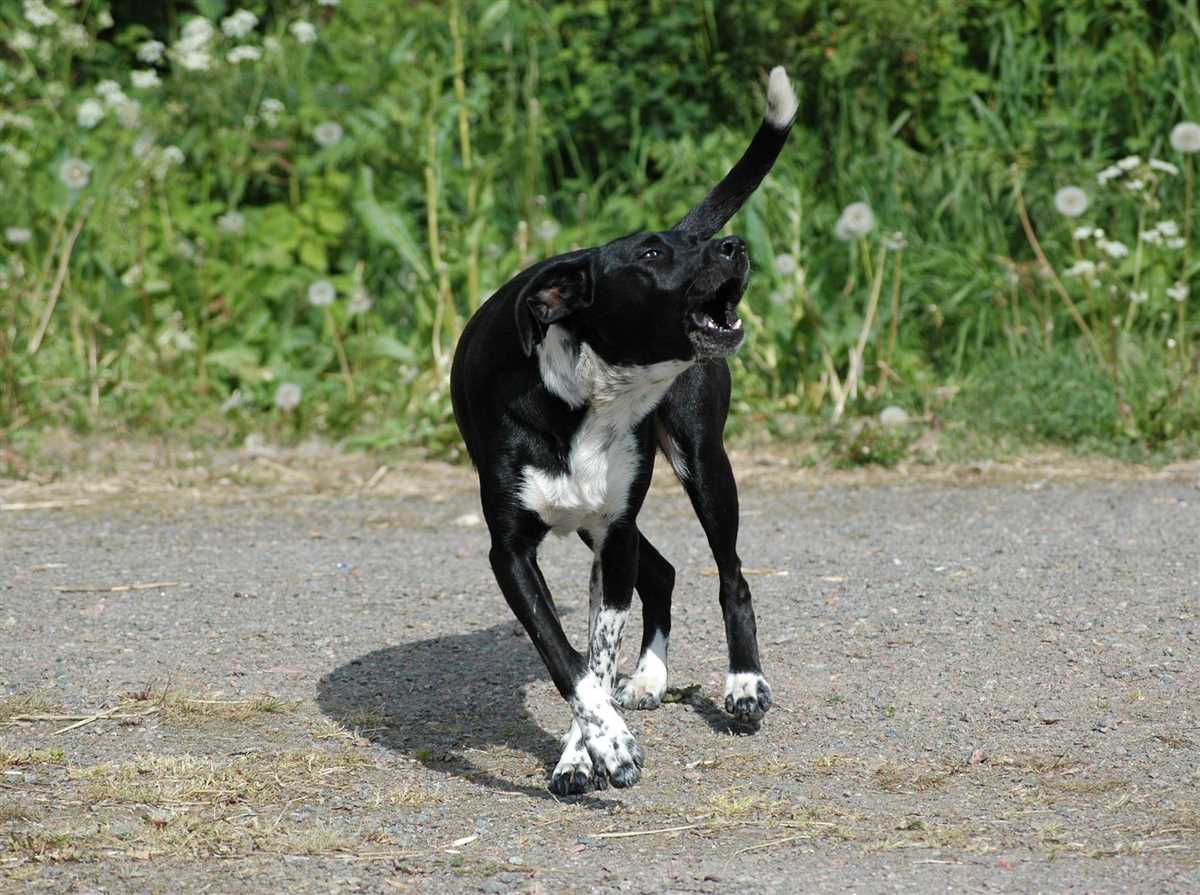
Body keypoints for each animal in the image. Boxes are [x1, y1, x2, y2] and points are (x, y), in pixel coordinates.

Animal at [451, 66, 796, 791]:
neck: (586, 395)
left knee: (730, 572)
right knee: (661, 571)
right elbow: (569, 660)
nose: (733, 245)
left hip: (702, 462)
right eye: (652, 250)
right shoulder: (515, 552)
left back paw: (743, 683)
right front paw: (601, 745)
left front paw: (593, 748)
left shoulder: (612, 540)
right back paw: (650, 679)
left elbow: (594, 655)